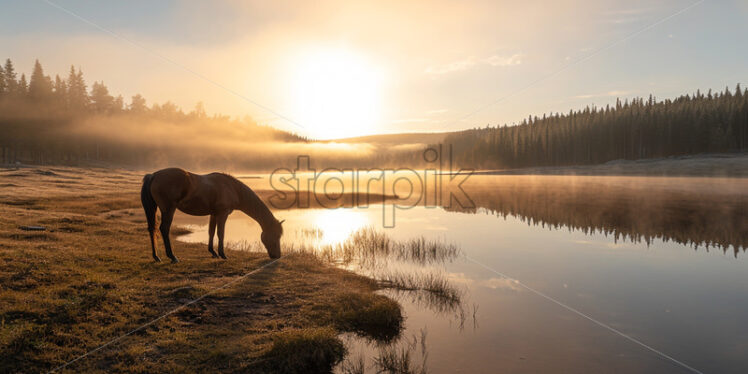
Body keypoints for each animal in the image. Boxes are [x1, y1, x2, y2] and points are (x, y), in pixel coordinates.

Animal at [140, 168, 284, 262]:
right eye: (276, 235)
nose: (277, 256)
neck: (231, 188)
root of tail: (153, 175)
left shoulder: (214, 214)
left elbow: (211, 232)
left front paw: (213, 252)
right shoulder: (222, 214)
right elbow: (221, 233)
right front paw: (223, 254)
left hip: (155, 209)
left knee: (152, 229)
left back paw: (156, 257)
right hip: (168, 209)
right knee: (164, 229)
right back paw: (172, 256)